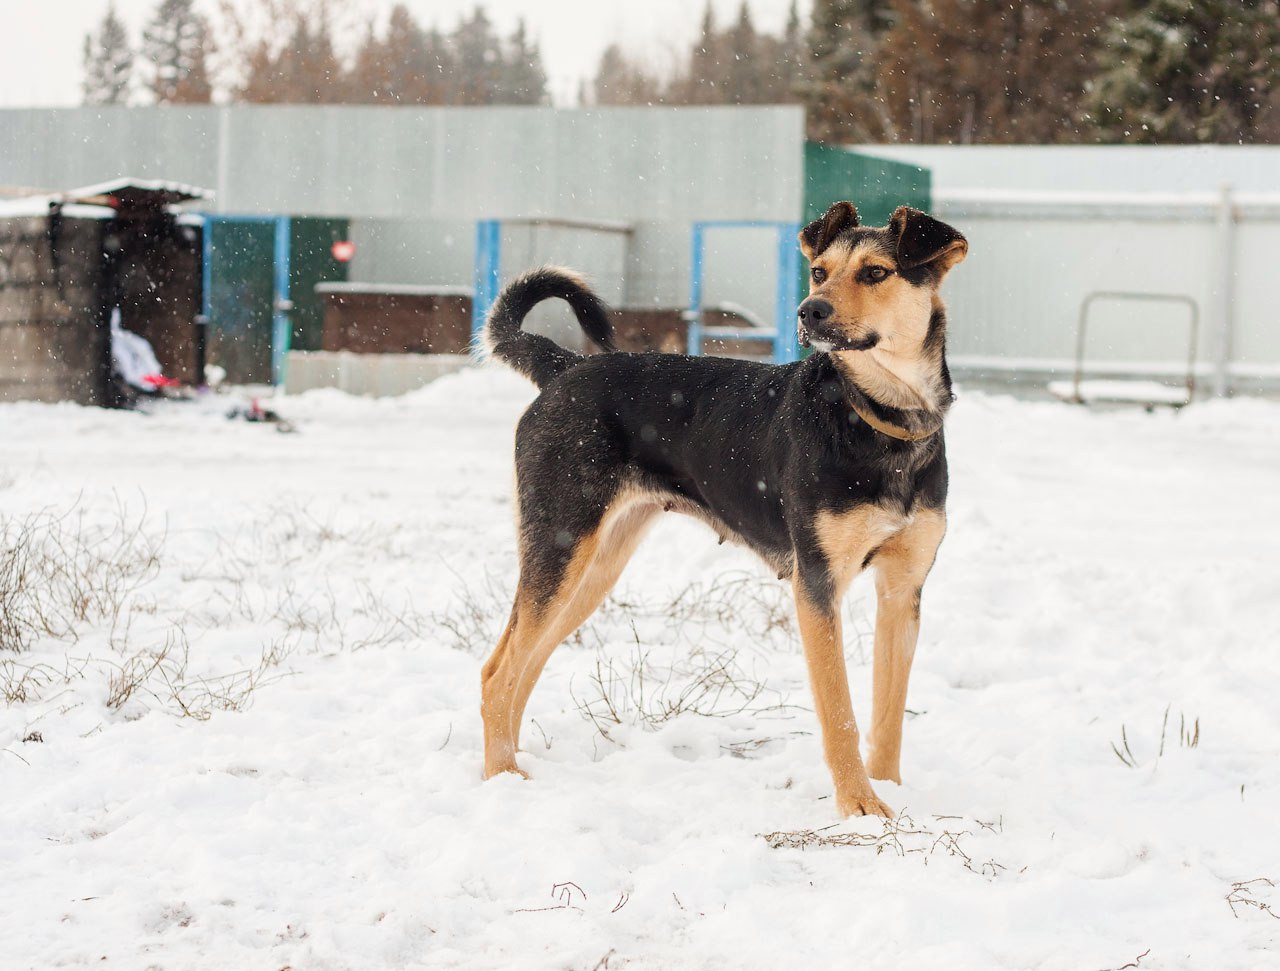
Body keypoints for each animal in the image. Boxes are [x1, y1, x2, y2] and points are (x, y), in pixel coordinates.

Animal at [481, 200, 967, 818]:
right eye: (819, 271)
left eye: (876, 273)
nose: (809, 311)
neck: (880, 419)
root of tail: (564, 367)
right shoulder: (817, 585)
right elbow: (841, 714)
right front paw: (858, 807)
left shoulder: (903, 590)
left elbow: (889, 714)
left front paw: (891, 795)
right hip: (562, 545)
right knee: (497, 674)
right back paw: (500, 779)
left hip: (594, 567)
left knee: (521, 664)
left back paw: (516, 769)